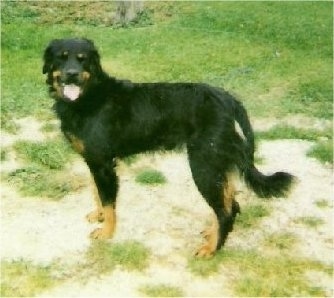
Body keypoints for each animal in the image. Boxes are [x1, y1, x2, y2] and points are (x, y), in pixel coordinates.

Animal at [42, 38, 294, 258]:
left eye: (82, 59)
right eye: (61, 58)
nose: (72, 74)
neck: (90, 96)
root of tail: (227, 98)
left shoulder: (103, 163)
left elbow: (108, 201)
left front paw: (107, 232)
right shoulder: (94, 161)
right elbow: (97, 193)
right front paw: (100, 216)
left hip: (203, 165)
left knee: (224, 211)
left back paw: (211, 248)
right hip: (215, 162)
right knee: (230, 201)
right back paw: (212, 234)